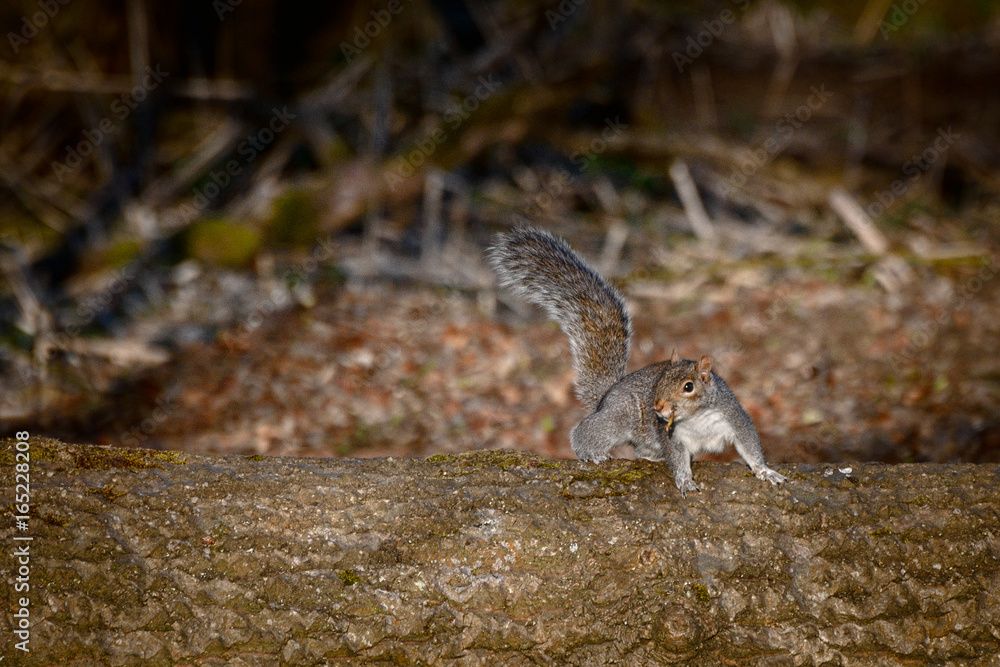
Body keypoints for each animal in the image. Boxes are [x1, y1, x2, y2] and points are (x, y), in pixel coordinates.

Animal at [486, 226, 787, 496]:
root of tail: (605, 397)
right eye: (659, 380)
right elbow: (677, 458)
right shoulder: (672, 436)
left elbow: (749, 447)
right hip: (619, 418)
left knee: (639, 449)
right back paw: (591, 453)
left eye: (688, 387)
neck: (696, 418)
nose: (658, 406)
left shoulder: (734, 419)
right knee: (585, 431)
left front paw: (765, 471)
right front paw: (685, 480)